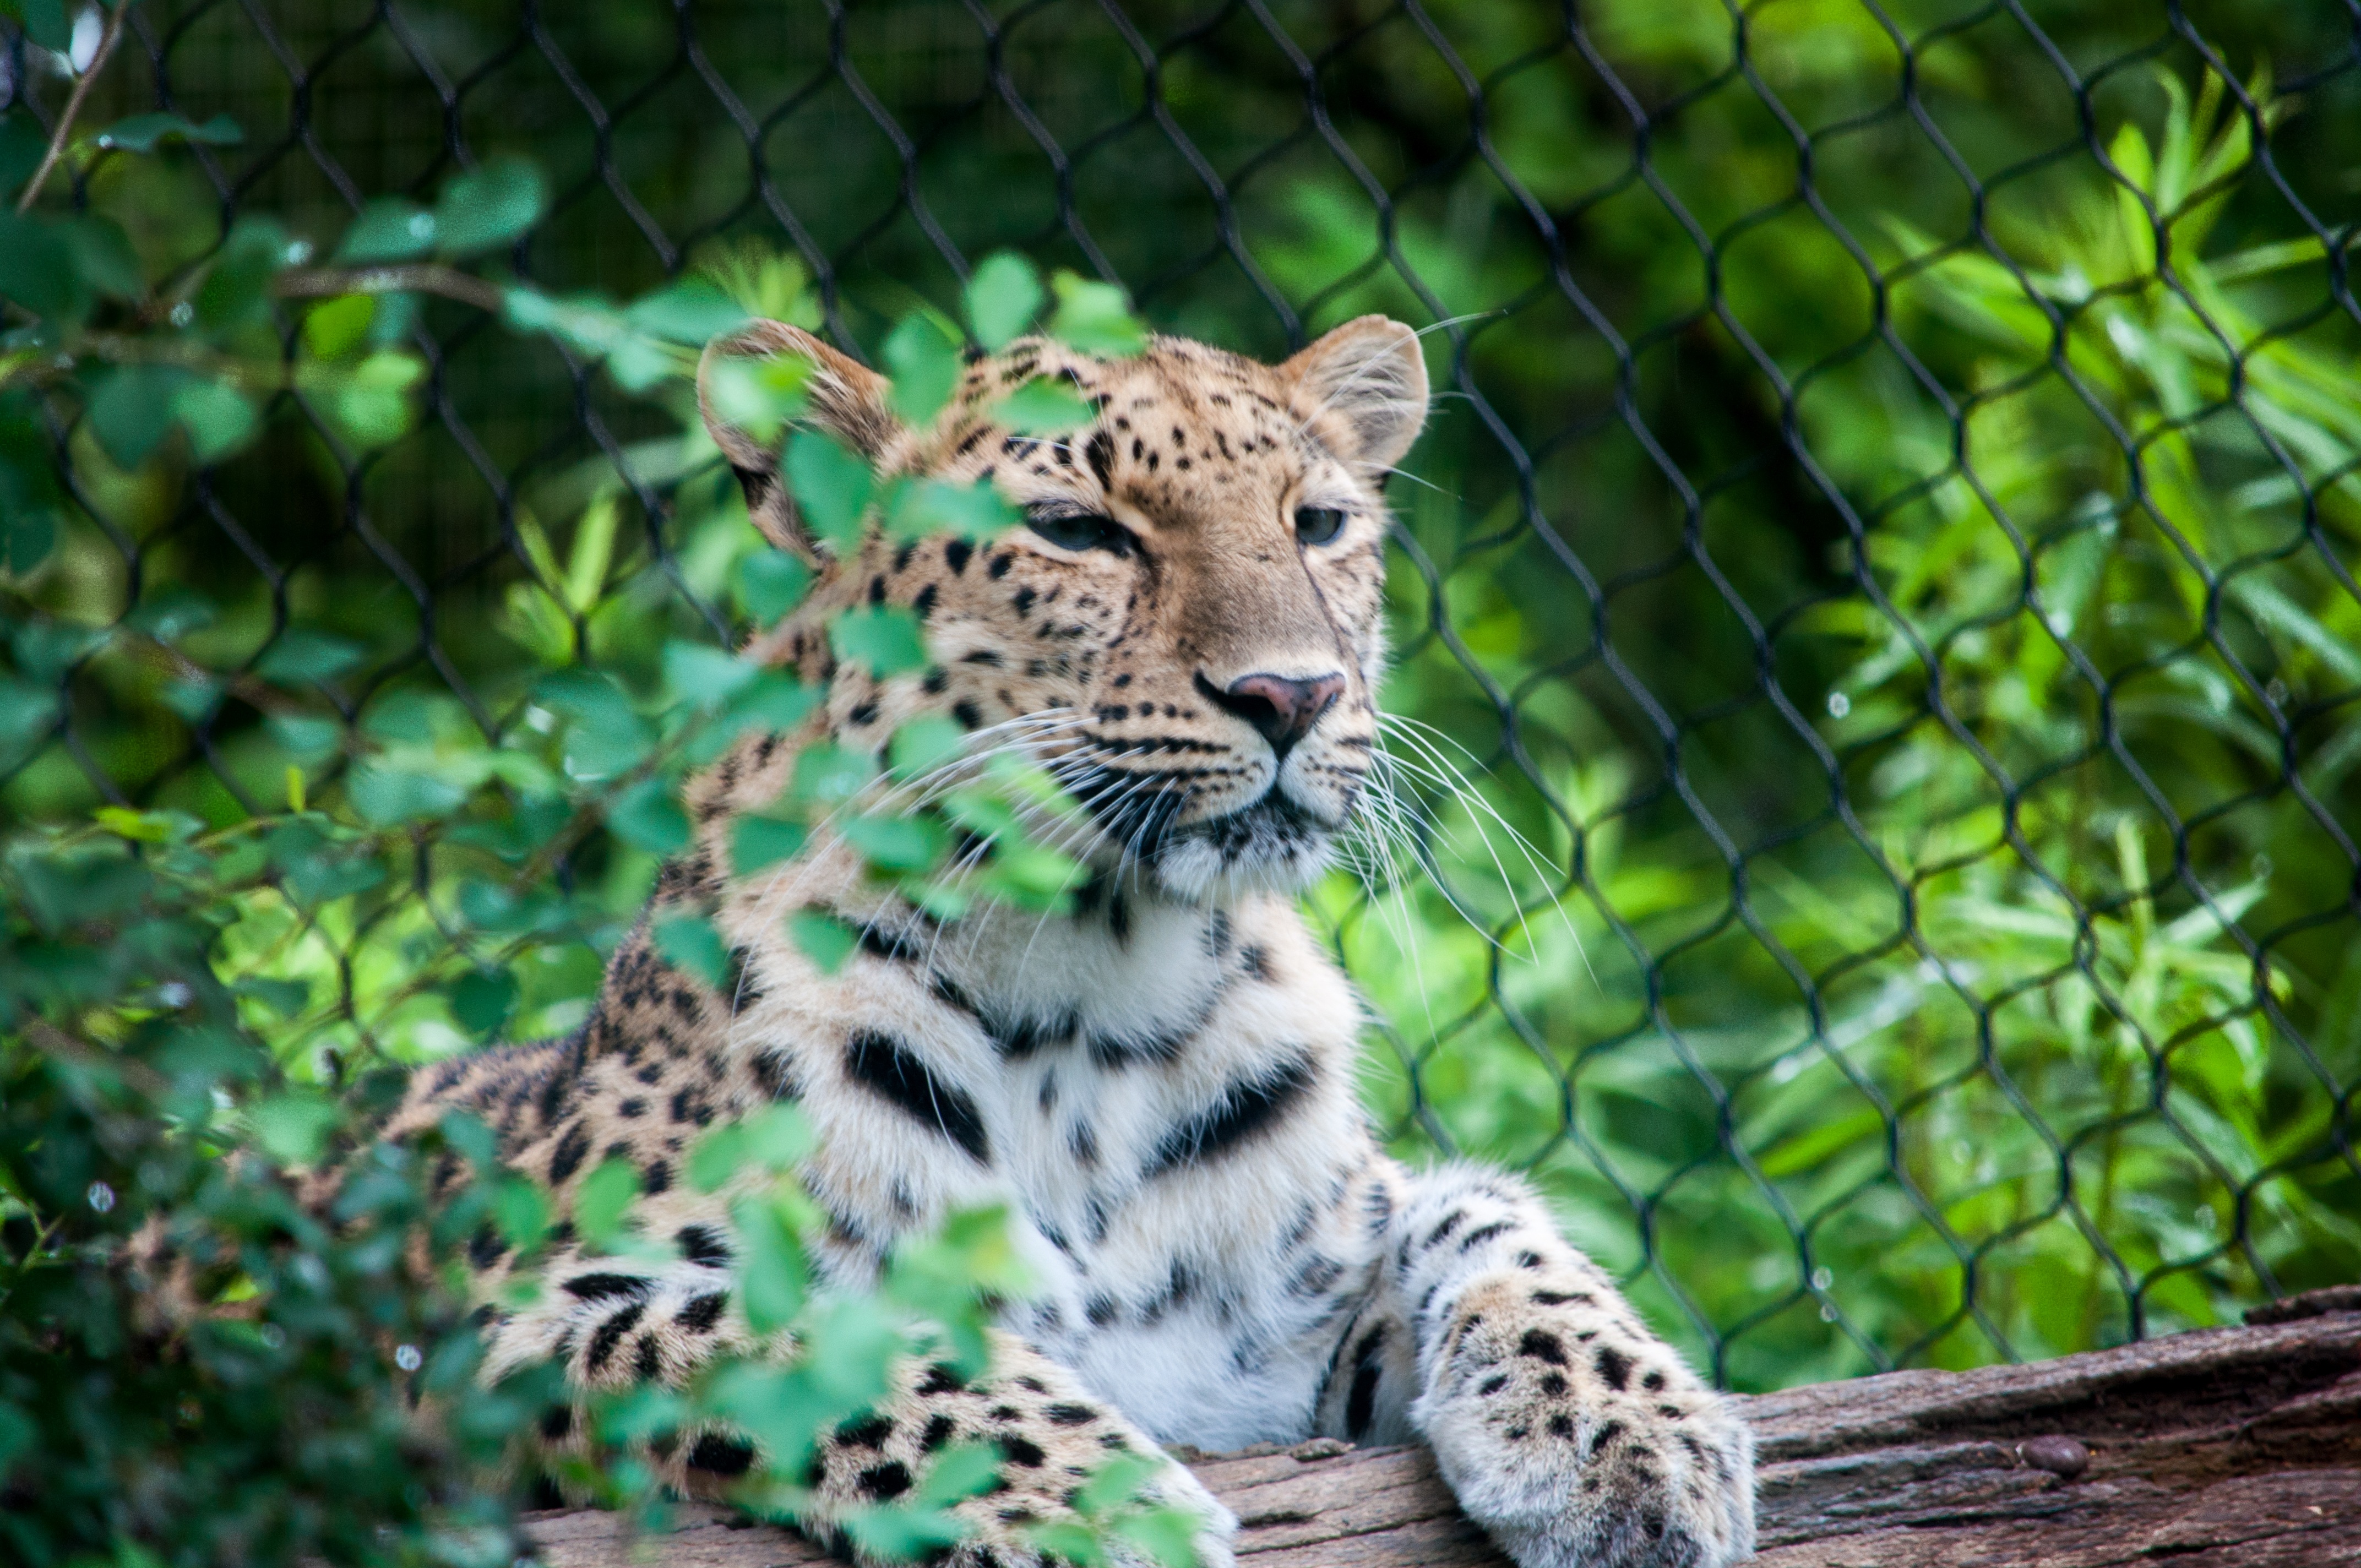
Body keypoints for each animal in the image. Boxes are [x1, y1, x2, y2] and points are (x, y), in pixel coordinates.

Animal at [378, 312, 1766, 1558]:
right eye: (1076, 531)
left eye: (1316, 524)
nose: (1293, 691)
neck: (1092, 995)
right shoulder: (492, 1320)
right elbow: (803, 1336)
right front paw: (1113, 1511)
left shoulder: (1304, 1327)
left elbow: (1491, 1215)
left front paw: (1629, 1436)